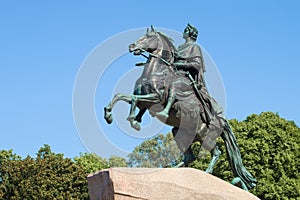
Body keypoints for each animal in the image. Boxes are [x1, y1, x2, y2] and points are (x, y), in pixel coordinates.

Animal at [104, 26, 256, 191]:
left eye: (147, 37)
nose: (131, 46)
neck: (156, 73)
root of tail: (222, 120)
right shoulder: (143, 100)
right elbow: (121, 96)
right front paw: (110, 115)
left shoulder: (156, 99)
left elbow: (135, 99)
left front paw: (134, 120)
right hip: (180, 134)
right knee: (190, 156)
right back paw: (174, 168)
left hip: (204, 135)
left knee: (217, 152)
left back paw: (207, 172)